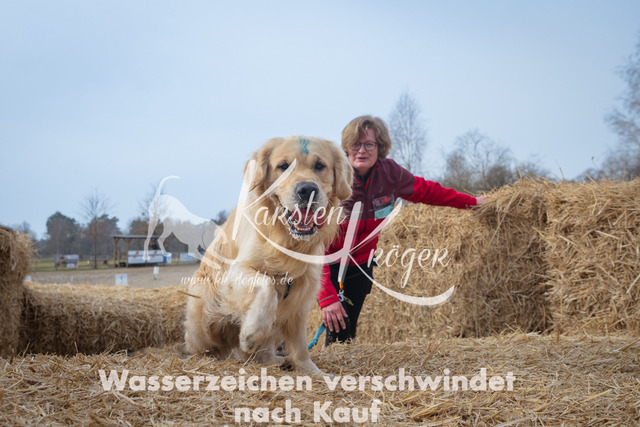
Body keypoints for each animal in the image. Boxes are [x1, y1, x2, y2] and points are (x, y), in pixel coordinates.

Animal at [184, 136, 352, 373]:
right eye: (283, 166)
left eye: (320, 166)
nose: (307, 189)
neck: (286, 240)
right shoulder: (237, 272)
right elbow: (267, 287)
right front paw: (250, 334)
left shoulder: (303, 290)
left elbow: (300, 344)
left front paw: (311, 371)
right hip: (202, 301)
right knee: (207, 348)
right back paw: (206, 359)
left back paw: (275, 360)